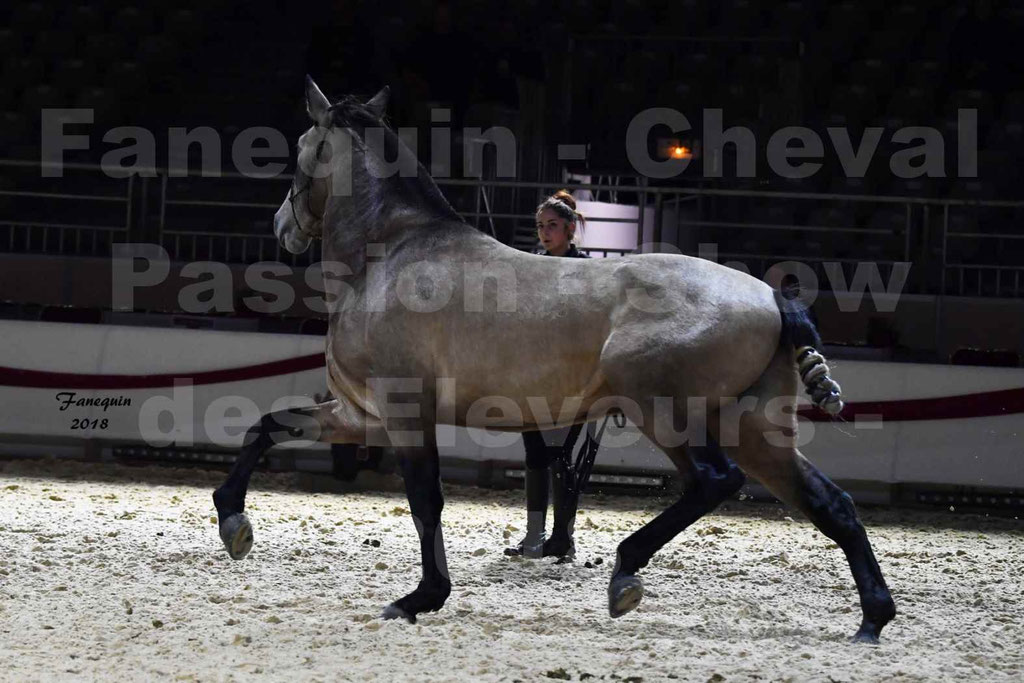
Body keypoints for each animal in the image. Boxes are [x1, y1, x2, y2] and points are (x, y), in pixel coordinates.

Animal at [212, 77, 896, 642]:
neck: (390, 255)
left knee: (715, 481)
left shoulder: (405, 416)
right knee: (831, 504)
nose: (281, 225)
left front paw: (420, 598)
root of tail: (773, 297)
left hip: (666, 413)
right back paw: (872, 620)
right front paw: (233, 523)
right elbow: (268, 426)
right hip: (753, 428)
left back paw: (625, 574)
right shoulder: (361, 415)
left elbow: (426, 501)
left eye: (301, 145)